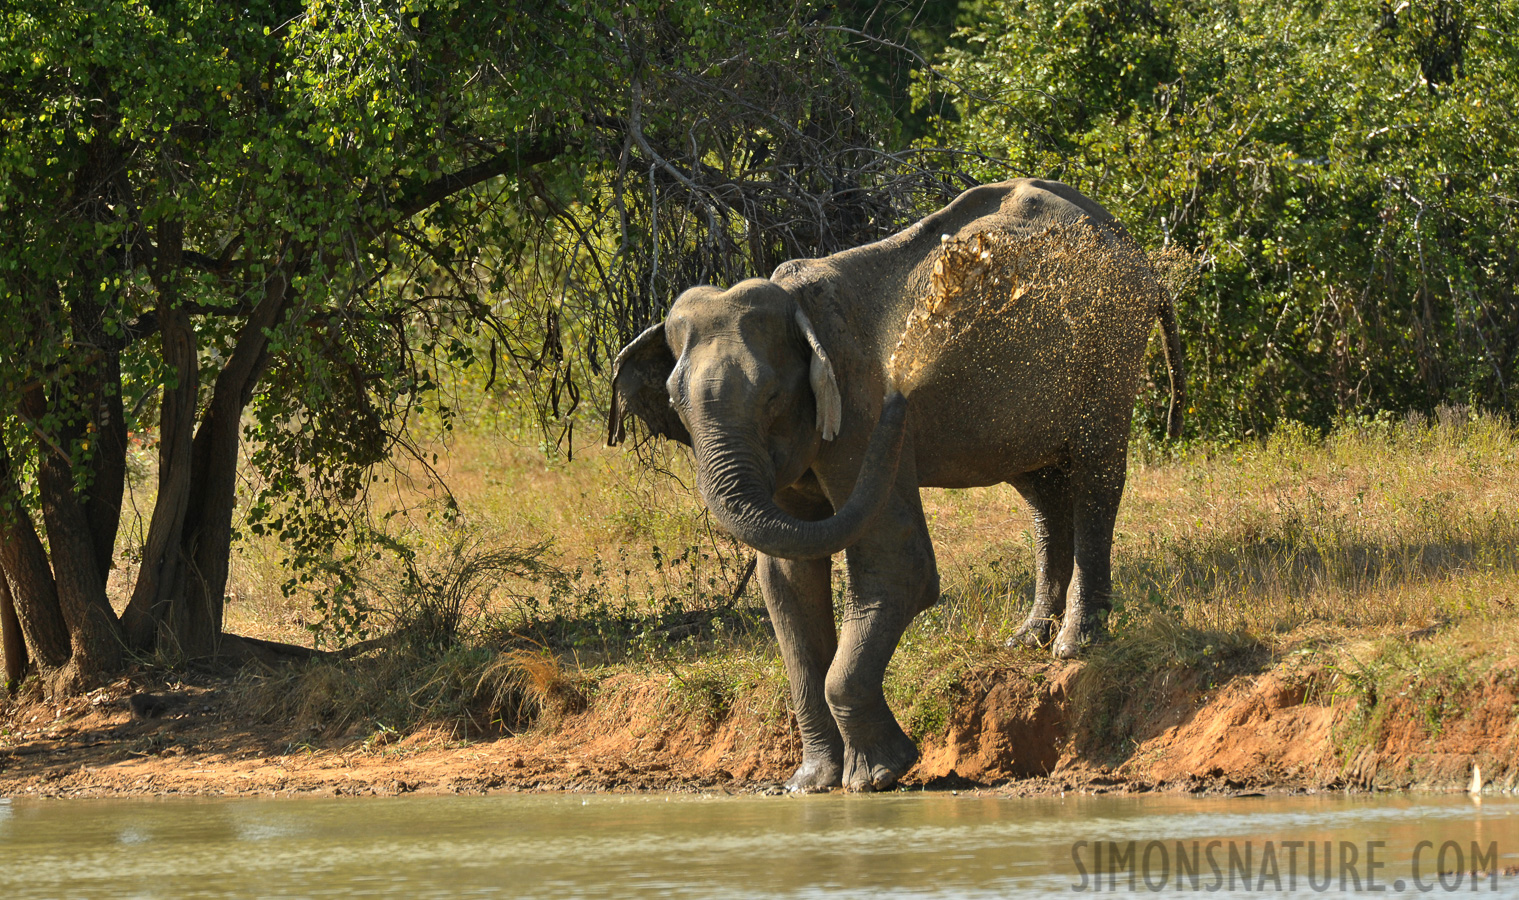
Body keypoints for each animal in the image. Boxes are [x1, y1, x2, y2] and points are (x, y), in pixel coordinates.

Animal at [604, 179, 1184, 790]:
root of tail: (1131, 244)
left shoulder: (860, 403)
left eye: (771, 398)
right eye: (675, 405)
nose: (905, 392)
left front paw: (879, 777)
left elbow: (896, 564)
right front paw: (812, 784)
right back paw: (1027, 640)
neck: (798, 306)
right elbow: (786, 578)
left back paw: (1073, 647)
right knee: (1042, 492)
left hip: (1108, 345)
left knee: (1096, 478)